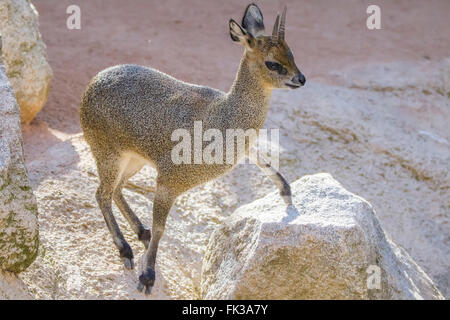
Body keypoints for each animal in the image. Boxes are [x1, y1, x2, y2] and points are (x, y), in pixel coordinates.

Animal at [80, 3, 306, 296]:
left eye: (291, 52)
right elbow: (161, 227)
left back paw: (140, 234)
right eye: (273, 63)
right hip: (110, 156)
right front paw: (147, 277)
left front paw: (287, 194)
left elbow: (263, 160)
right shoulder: (168, 182)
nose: (301, 79)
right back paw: (126, 251)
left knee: (116, 190)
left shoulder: (242, 146)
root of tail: (91, 86)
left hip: (133, 160)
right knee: (102, 194)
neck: (224, 113)